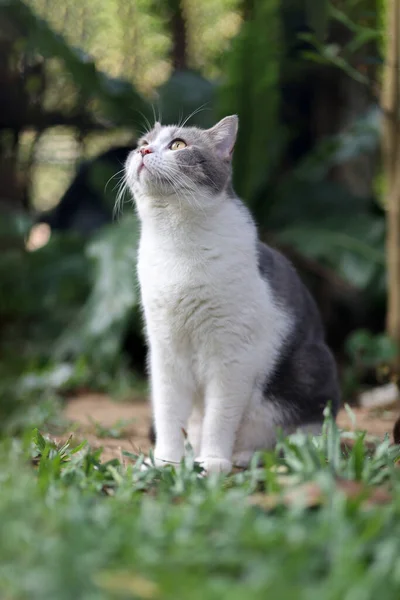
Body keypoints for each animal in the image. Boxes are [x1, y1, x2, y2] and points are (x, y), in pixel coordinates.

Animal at [124, 115, 338, 474]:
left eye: (178, 145)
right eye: (143, 141)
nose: (143, 151)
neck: (175, 243)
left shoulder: (231, 357)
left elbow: (220, 417)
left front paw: (211, 462)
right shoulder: (165, 352)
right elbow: (167, 414)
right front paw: (166, 462)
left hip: (312, 372)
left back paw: (245, 456)